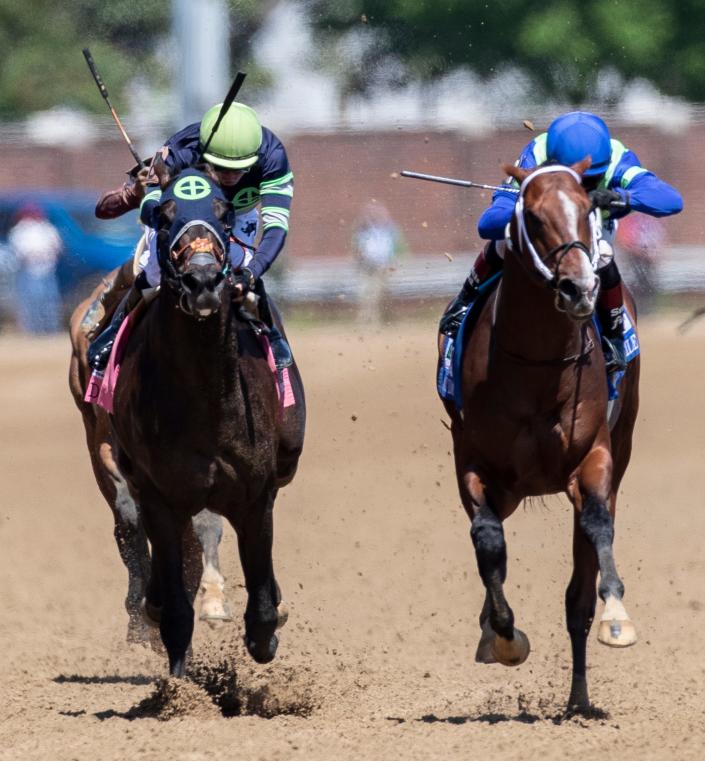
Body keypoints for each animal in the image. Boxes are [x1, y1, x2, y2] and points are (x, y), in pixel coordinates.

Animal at [71, 169, 306, 672]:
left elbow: (257, 589)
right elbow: (171, 584)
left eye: (225, 214)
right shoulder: (156, 489)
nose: (202, 281)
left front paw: (262, 628)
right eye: (162, 217)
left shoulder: (254, 493)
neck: (205, 400)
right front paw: (176, 668)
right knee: (134, 529)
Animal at [446, 160, 640, 712]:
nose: (579, 289)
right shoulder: (474, 463)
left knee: (580, 588)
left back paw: (579, 699)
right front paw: (503, 636)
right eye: (532, 216)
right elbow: (488, 542)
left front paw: (617, 617)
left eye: (588, 205)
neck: (537, 365)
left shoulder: (593, 457)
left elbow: (597, 527)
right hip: (511, 490)